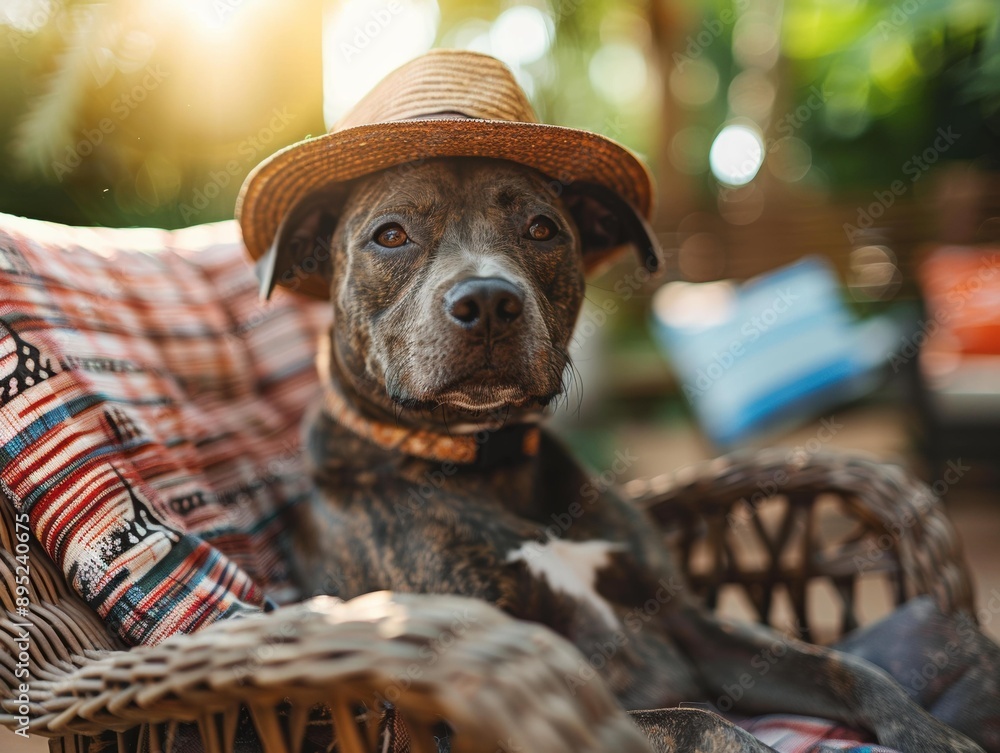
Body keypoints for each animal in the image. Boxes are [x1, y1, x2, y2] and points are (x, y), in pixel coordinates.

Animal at [250, 154, 984, 752]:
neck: (491, 465)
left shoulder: (693, 629)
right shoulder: (485, 699)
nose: (487, 299)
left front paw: (937, 736)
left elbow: (851, 670)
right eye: (391, 234)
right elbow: (698, 721)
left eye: (542, 229)